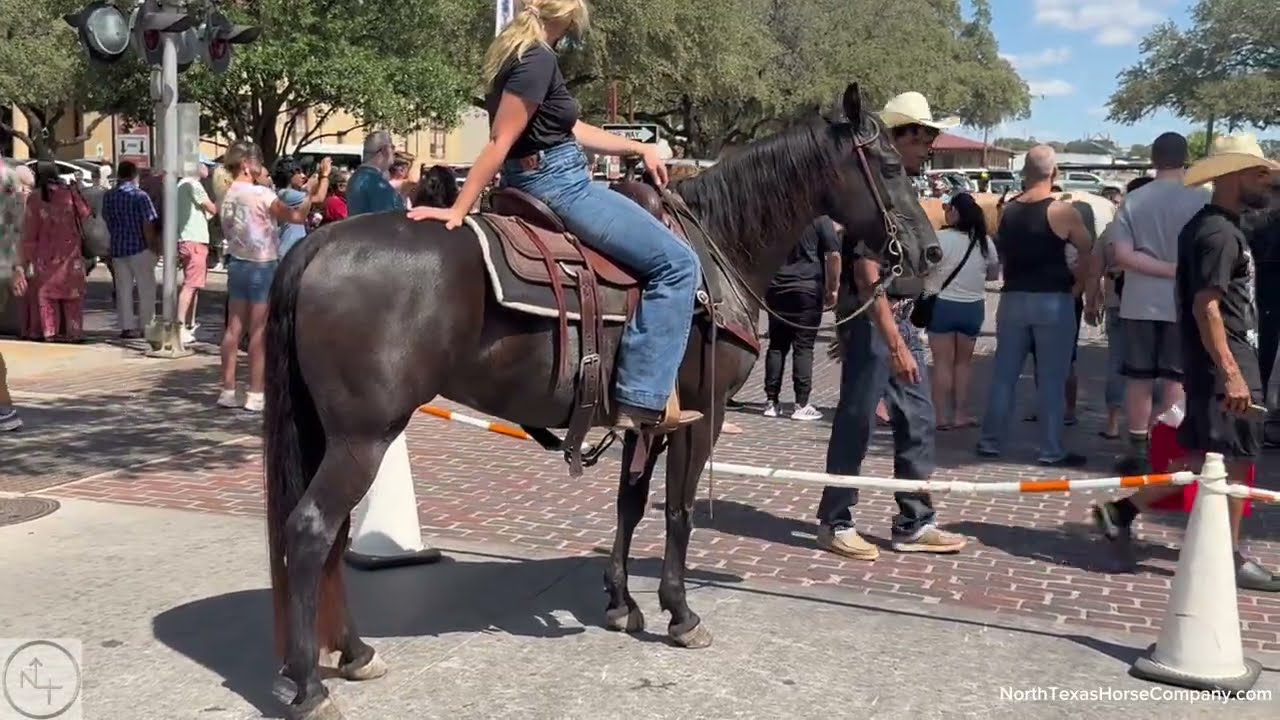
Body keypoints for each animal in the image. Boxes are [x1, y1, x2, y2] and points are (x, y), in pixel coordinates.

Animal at [262, 83, 940, 720]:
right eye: (890, 165)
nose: (931, 253)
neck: (715, 251)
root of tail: (320, 243)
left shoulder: (646, 421)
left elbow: (631, 505)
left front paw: (621, 602)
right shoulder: (703, 417)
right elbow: (679, 512)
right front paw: (680, 613)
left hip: (337, 433)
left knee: (332, 536)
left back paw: (352, 653)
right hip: (364, 437)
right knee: (313, 529)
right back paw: (311, 685)